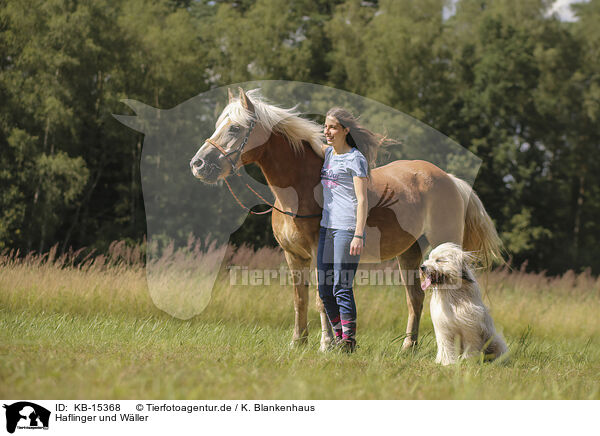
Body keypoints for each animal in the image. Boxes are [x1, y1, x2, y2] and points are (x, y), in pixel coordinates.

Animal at [190, 87, 500, 350]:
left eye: (235, 127)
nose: (198, 164)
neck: (301, 190)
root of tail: (449, 179)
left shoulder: (319, 252)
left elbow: (320, 298)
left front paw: (326, 344)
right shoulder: (294, 256)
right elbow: (299, 299)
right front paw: (298, 342)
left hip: (443, 246)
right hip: (410, 252)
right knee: (415, 298)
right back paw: (407, 348)